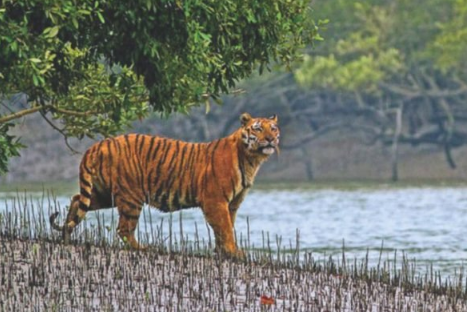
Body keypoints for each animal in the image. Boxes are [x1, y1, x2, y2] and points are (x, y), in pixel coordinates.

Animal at [49, 113, 280, 258]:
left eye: (273, 129)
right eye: (258, 129)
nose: (270, 139)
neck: (251, 159)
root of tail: (97, 145)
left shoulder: (231, 204)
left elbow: (226, 227)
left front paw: (223, 252)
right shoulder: (215, 201)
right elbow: (224, 228)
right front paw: (233, 252)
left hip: (104, 194)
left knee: (77, 200)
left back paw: (66, 235)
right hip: (131, 196)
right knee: (123, 228)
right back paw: (142, 247)